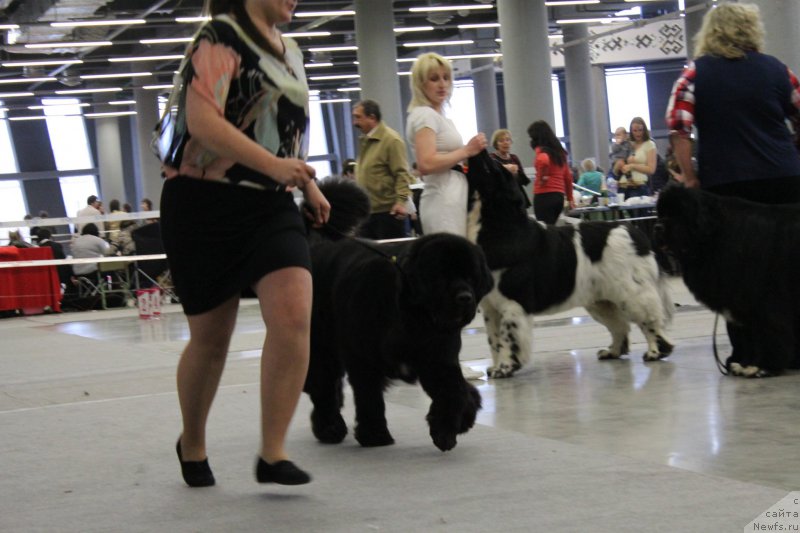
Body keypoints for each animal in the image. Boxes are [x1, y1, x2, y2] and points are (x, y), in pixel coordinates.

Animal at [302, 179, 494, 448]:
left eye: (470, 276)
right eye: (441, 277)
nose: (464, 298)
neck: (412, 317)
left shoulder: (438, 357)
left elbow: (455, 391)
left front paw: (448, 429)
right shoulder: (363, 357)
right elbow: (369, 397)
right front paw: (375, 435)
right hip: (321, 342)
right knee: (324, 384)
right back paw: (330, 428)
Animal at [466, 151, 672, 378]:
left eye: (489, 167)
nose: (479, 148)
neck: (500, 226)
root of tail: (634, 232)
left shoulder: (512, 303)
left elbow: (507, 338)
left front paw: (504, 368)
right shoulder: (489, 307)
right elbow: (493, 340)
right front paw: (494, 368)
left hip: (633, 294)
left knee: (650, 321)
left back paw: (655, 352)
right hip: (600, 300)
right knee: (619, 325)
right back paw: (612, 352)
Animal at [656, 185, 800, 376]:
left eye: (678, 213)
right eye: (660, 213)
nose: (657, 227)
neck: (717, 234)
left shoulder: (764, 300)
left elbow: (768, 330)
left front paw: (765, 366)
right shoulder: (743, 303)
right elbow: (750, 334)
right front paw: (746, 364)